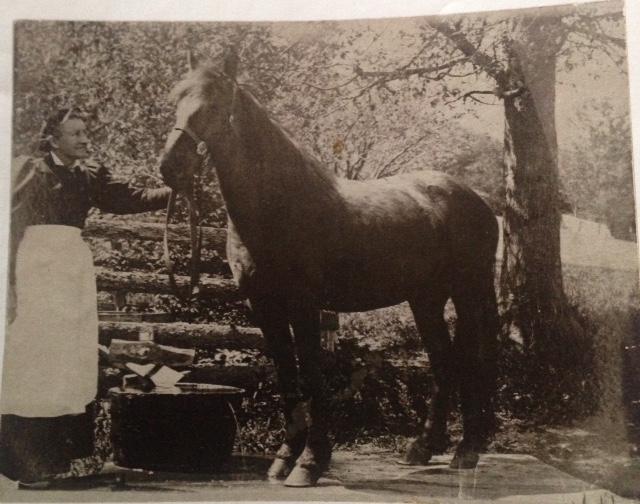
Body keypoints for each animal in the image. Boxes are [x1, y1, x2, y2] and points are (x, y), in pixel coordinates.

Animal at [160, 53, 500, 486]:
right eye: (176, 99)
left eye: (215, 105)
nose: (170, 167)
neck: (279, 205)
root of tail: (477, 199)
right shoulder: (263, 305)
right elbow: (287, 377)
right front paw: (284, 458)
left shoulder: (304, 304)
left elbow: (311, 374)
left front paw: (310, 462)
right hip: (426, 299)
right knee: (443, 361)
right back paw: (422, 447)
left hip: (469, 291)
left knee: (474, 359)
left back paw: (467, 450)